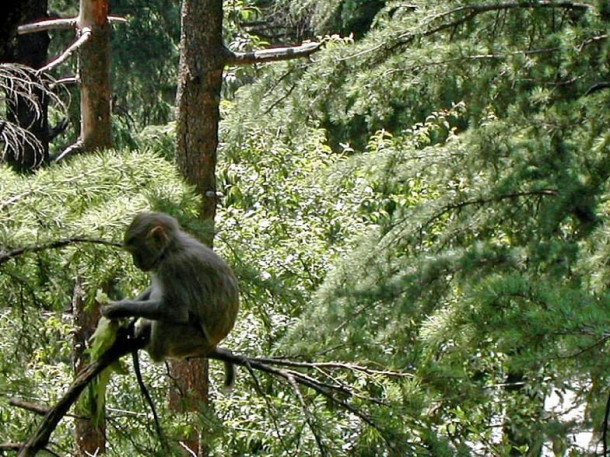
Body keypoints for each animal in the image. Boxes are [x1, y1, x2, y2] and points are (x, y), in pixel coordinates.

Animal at [101, 210, 239, 384]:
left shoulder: (171, 267)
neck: (170, 249)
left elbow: (175, 311)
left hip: (191, 342)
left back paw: (155, 353)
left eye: (136, 252)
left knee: (167, 321)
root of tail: (212, 345)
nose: (135, 264)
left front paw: (118, 309)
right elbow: (154, 289)